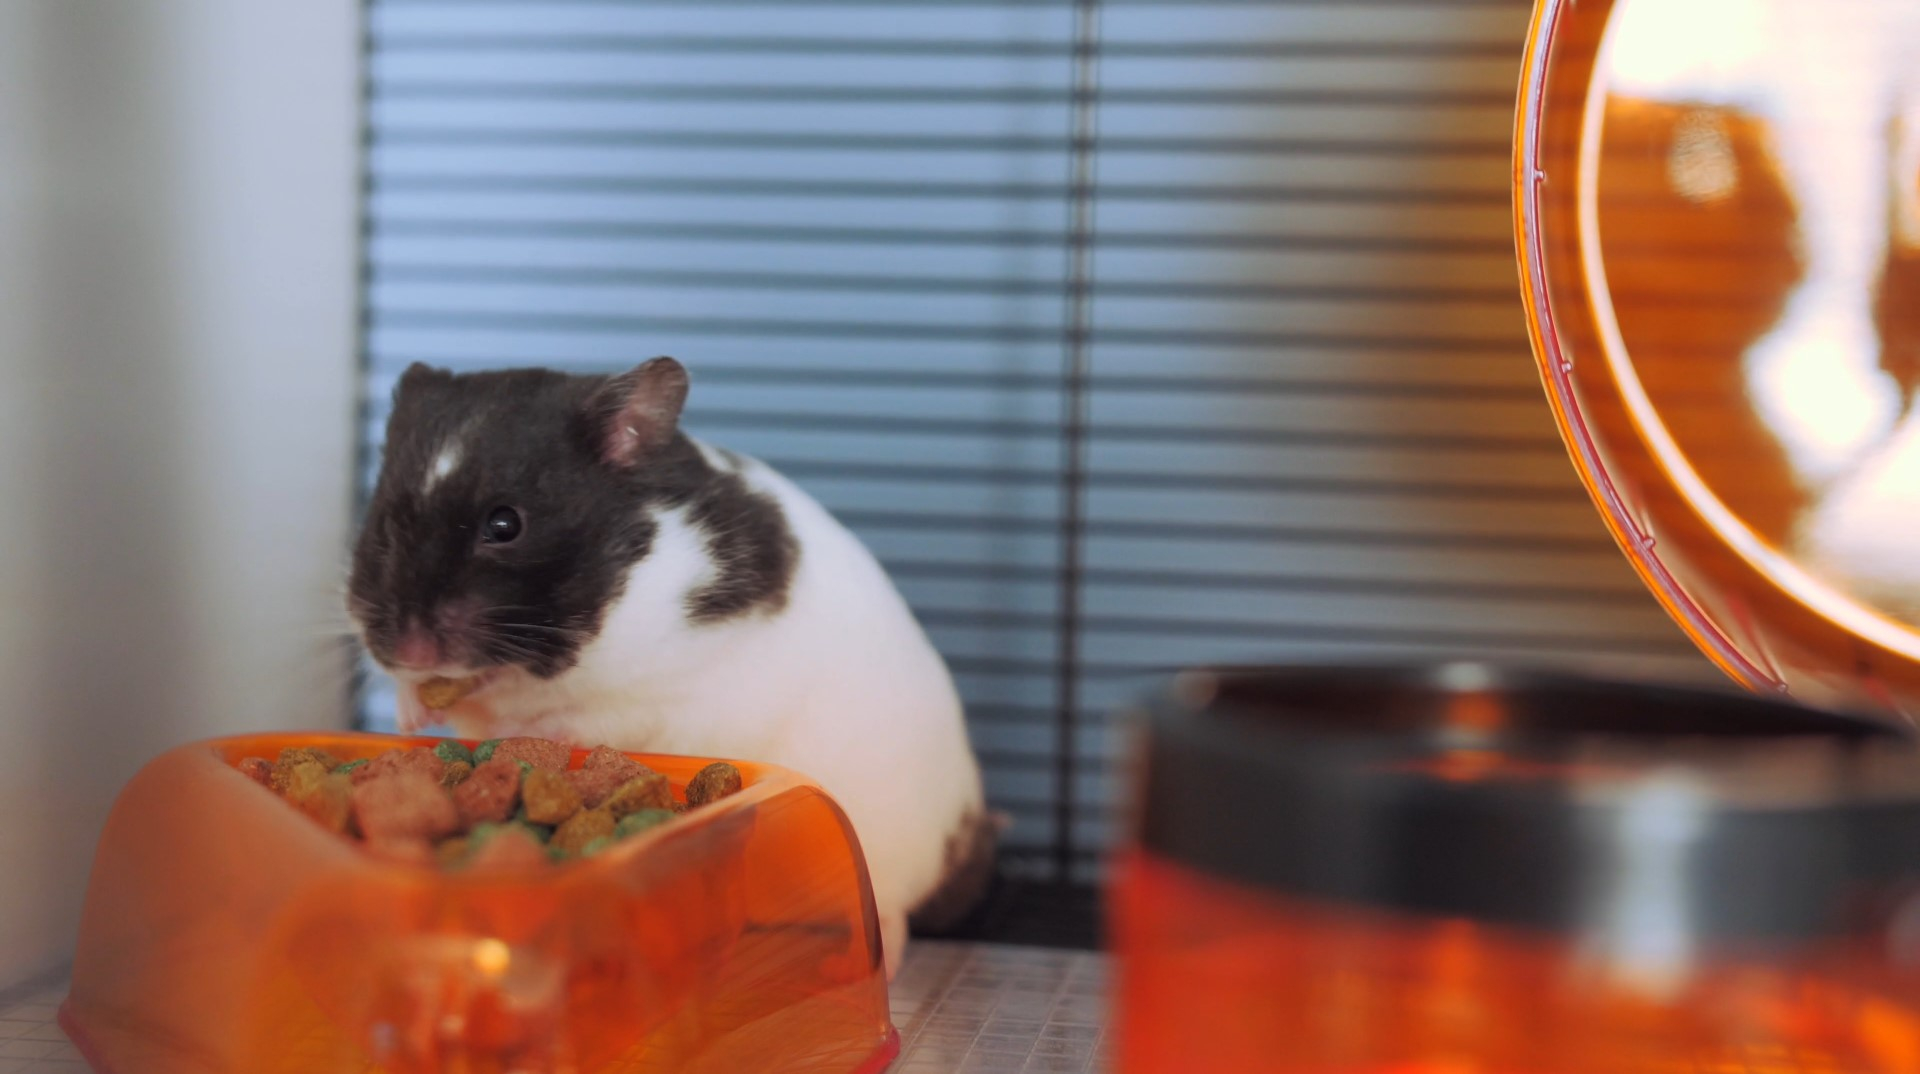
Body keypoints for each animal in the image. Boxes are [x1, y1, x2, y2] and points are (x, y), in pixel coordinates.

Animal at [351, 357, 998, 979]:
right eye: (383, 524)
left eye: (505, 524)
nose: (411, 649)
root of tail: (968, 841)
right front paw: (412, 716)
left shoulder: (668, 688)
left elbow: (584, 718)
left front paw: (532, 735)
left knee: (896, 914)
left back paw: (850, 966)